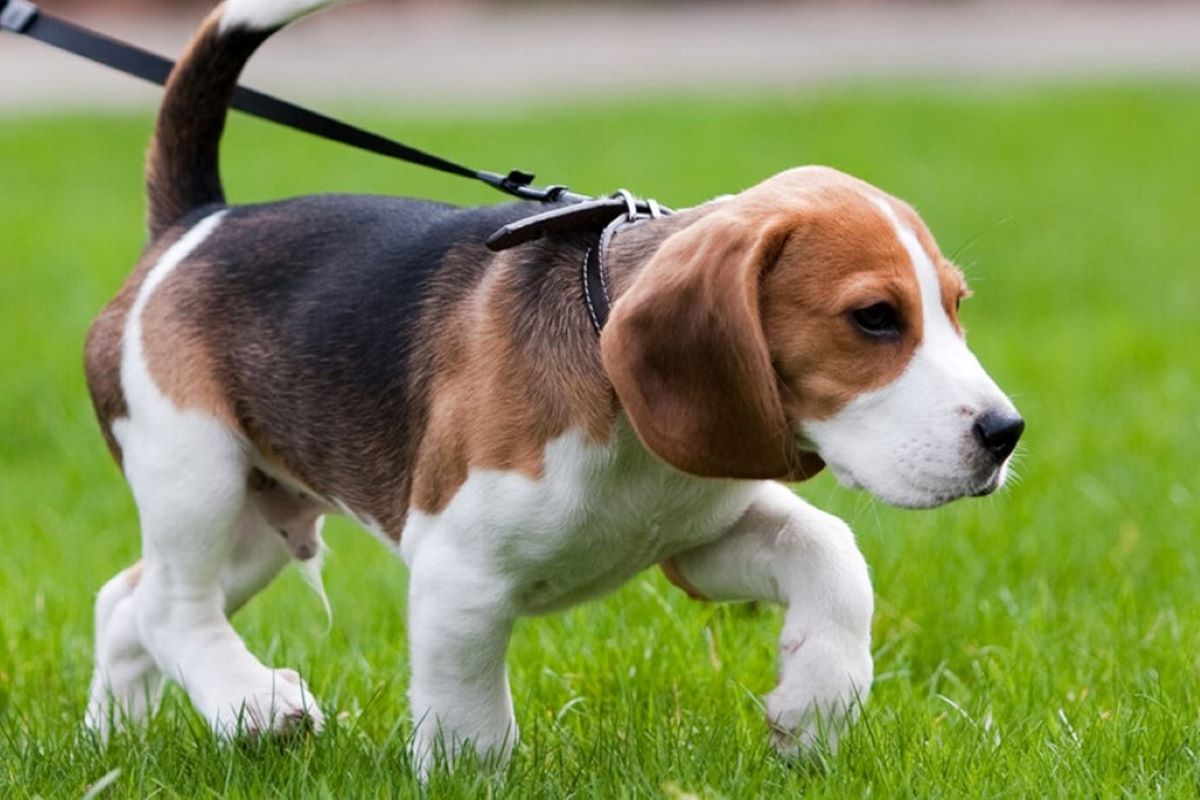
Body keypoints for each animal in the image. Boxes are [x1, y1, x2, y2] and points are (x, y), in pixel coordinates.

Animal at [79, 0, 1017, 777]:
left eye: (956, 306)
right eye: (874, 318)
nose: (1006, 434)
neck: (628, 424)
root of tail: (198, 224)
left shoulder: (698, 538)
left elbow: (830, 553)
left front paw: (815, 705)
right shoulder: (458, 573)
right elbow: (470, 724)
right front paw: (467, 775)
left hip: (258, 520)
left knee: (125, 602)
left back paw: (112, 742)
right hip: (195, 470)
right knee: (172, 610)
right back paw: (255, 703)